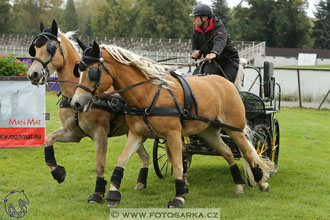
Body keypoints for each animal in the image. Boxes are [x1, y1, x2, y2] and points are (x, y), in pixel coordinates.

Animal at [27, 19, 150, 204]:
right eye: (34, 48)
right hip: (133, 132)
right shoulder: (72, 132)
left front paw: (98, 194)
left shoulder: (100, 133)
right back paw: (141, 183)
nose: (33, 74)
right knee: (146, 157)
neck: (74, 94)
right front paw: (58, 172)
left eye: (51, 48)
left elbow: (100, 165)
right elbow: (48, 139)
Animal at [71, 40, 276, 208]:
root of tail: (226, 83)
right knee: (227, 152)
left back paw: (262, 182)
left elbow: (178, 165)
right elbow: (121, 160)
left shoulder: (173, 135)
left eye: (92, 72)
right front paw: (113, 193)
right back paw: (239, 184)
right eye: (78, 70)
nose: (76, 103)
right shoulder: (137, 135)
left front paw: (179, 198)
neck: (148, 93)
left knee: (248, 152)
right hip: (209, 131)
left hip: (235, 129)